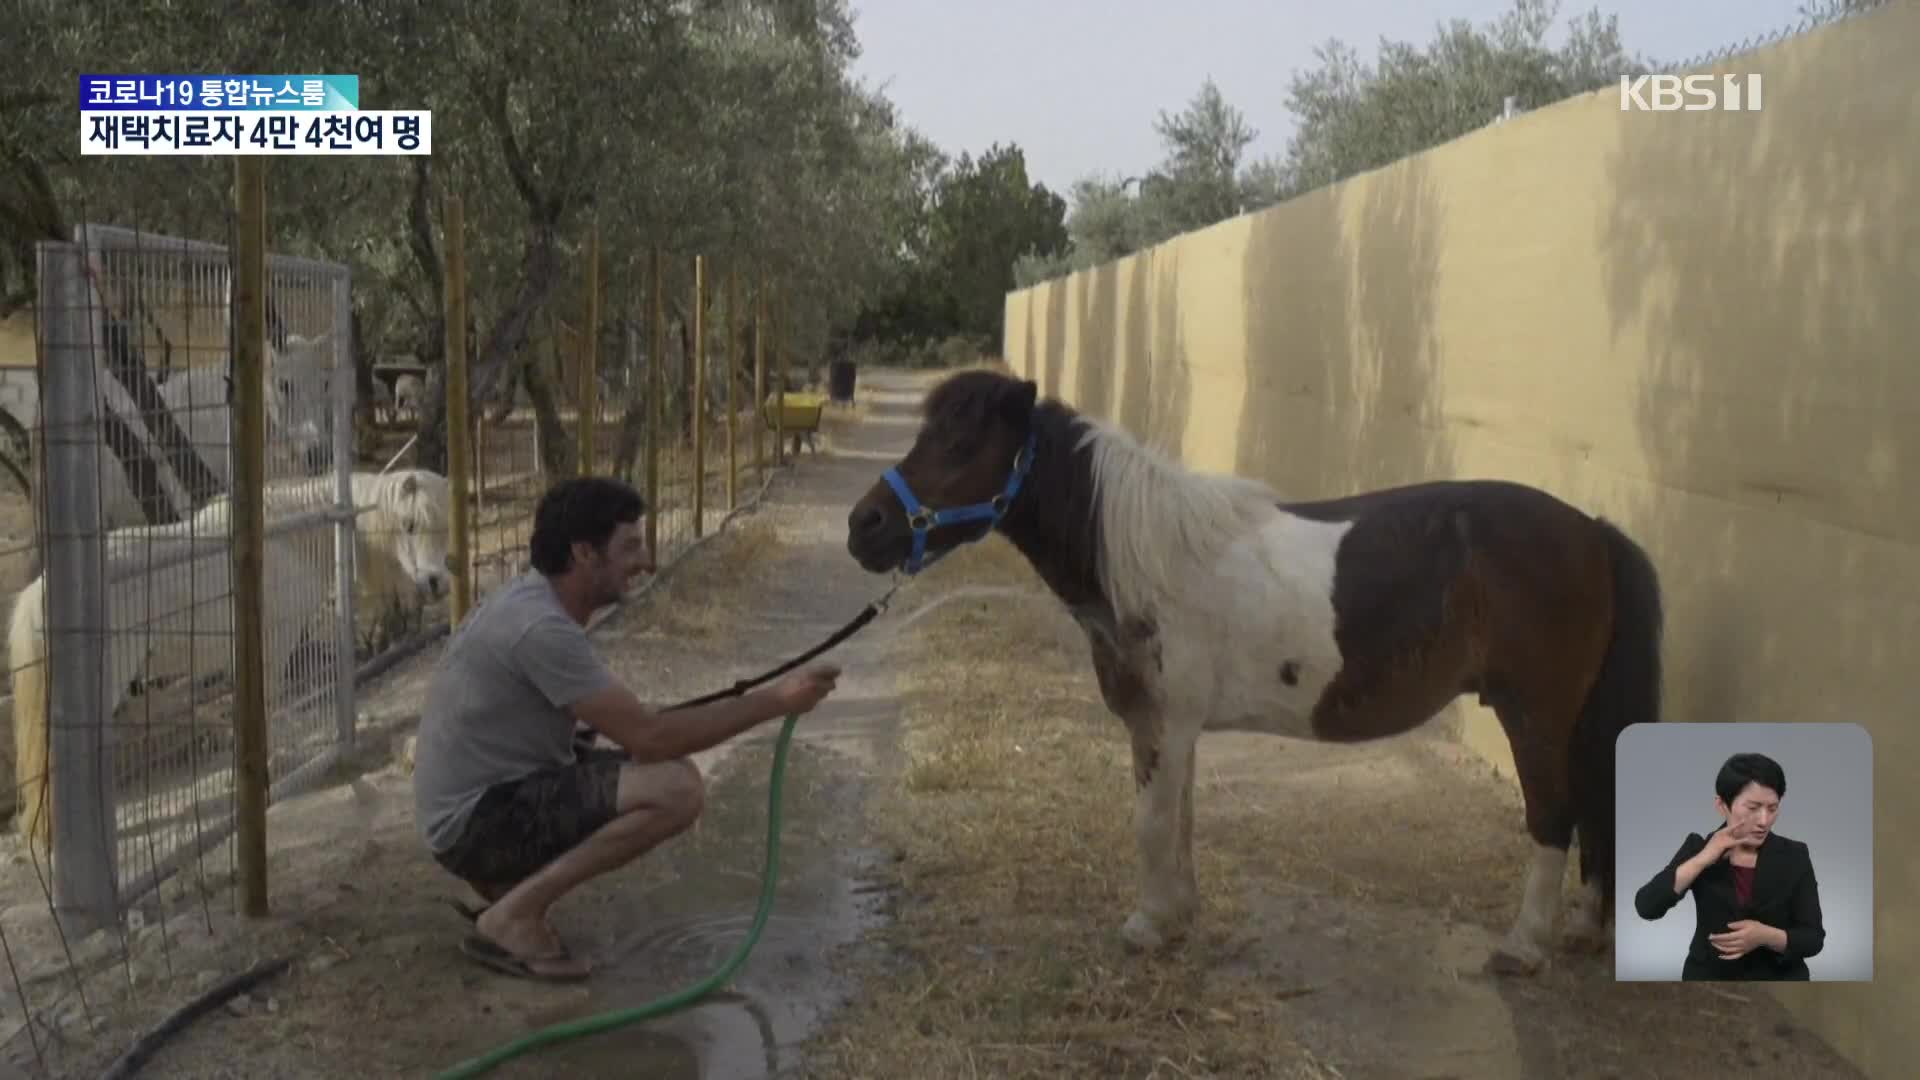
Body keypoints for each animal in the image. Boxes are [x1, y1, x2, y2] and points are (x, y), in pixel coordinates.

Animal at [8, 466, 449, 853]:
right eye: (409, 524)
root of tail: (39, 594)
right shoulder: (274, 648)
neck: (290, 540)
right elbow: (266, 708)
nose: (437, 584)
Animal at [844, 365, 1666, 972]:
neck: (1148, 557)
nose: (865, 526)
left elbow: (1151, 823)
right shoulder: (1177, 729)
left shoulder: (1161, 726)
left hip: (1536, 716)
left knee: (1555, 816)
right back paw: (1583, 930)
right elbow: (1180, 822)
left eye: (962, 446)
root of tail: (1591, 531)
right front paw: (1180, 916)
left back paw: (1524, 946)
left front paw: (1148, 926)